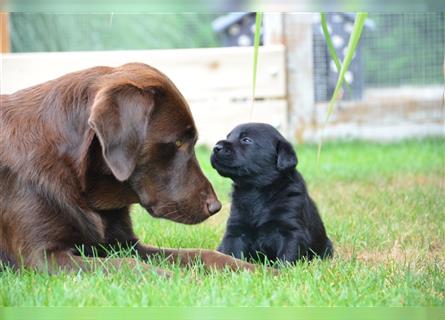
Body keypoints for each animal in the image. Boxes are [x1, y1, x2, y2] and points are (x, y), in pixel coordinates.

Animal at [0, 63, 255, 276]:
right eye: (178, 142)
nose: (216, 206)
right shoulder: (43, 257)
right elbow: (132, 266)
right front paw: (190, 282)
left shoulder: (125, 244)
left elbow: (200, 254)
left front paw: (253, 270)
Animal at [210, 124, 332, 264]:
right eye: (228, 137)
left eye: (246, 140)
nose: (216, 147)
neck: (255, 190)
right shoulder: (236, 229)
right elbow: (230, 252)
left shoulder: (291, 231)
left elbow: (287, 256)